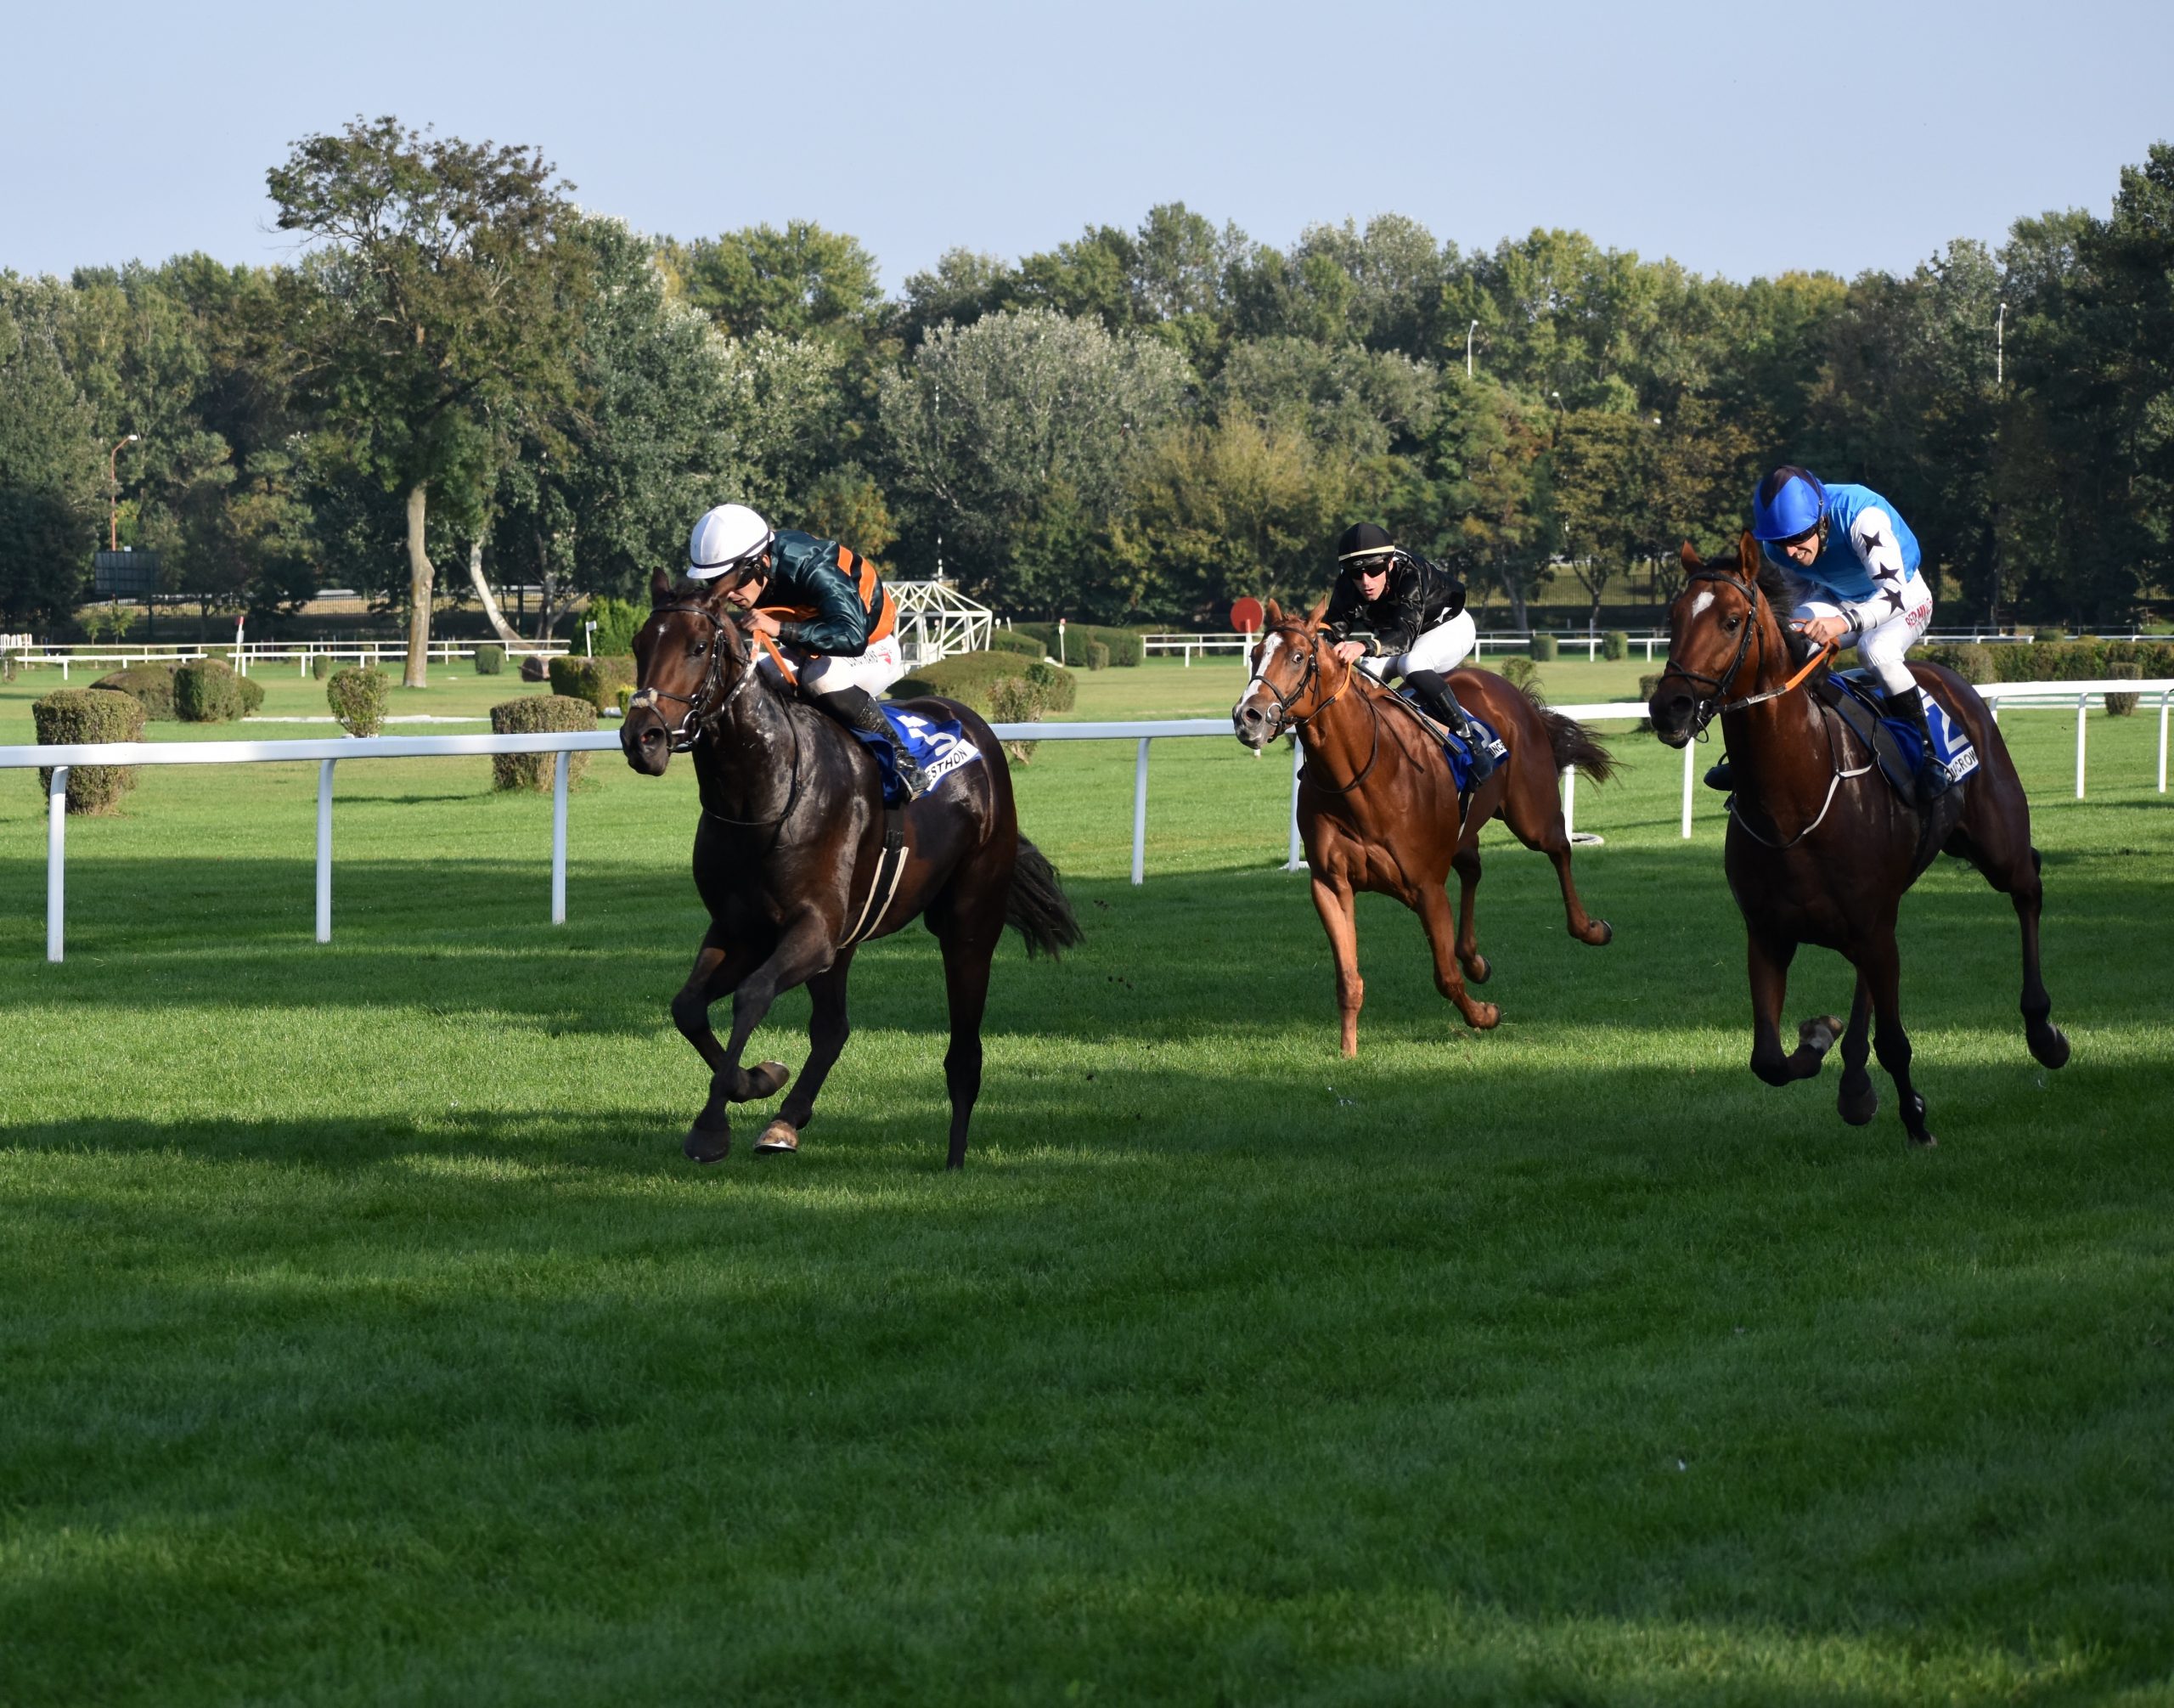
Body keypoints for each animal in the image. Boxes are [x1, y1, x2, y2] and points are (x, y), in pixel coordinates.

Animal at [622, 565, 1078, 1164]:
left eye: (699, 646)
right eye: (638, 644)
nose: (641, 738)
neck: (763, 792)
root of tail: (974, 726)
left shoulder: (812, 930)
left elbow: (752, 996)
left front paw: (711, 1126)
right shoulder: (742, 928)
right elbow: (688, 1006)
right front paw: (759, 1080)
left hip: (969, 919)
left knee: (964, 1049)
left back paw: (955, 1158)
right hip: (847, 938)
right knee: (833, 1029)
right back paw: (786, 1120)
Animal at [1235, 595, 1608, 1051]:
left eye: (1298, 657)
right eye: (1254, 654)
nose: (1247, 717)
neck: (1362, 776)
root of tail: (1506, 688)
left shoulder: (1427, 887)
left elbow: (1445, 977)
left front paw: (1484, 1015)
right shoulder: (1330, 884)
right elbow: (1348, 981)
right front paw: (1348, 1052)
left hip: (1530, 812)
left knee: (1559, 847)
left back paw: (1589, 928)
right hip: (1465, 830)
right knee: (1473, 869)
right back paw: (1475, 959)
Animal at [1643, 536, 2070, 1147]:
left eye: (1730, 621)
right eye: (1674, 618)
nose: (1668, 707)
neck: (1792, 804)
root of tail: (1953, 681)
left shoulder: (1871, 926)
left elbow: (1894, 1041)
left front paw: (1916, 1118)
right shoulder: (1768, 933)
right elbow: (1768, 1059)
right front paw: (1821, 1038)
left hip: (1995, 842)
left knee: (2027, 887)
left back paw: (2043, 1031)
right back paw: (1854, 1083)